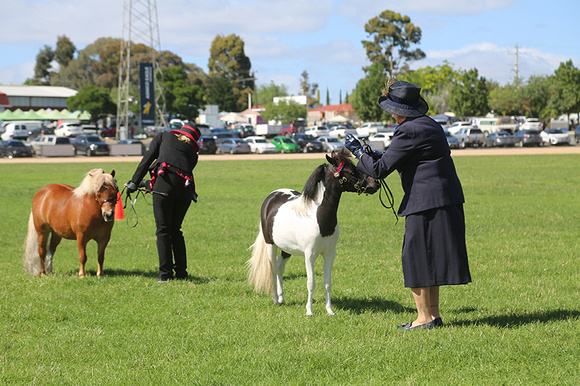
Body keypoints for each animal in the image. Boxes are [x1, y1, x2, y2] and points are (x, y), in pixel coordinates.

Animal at [246, 149, 378, 316]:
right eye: (349, 171)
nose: (375, 183)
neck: (319, 217)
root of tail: (271, 197)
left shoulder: (330, 254)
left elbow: (327, 283)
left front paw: (329, 310)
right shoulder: (309, 254)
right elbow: (311, 282)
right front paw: (309, 311)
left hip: (286, 249)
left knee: (280, 268)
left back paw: (282, 298)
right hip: (271, 245)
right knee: (273, 268)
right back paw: (276, 299)